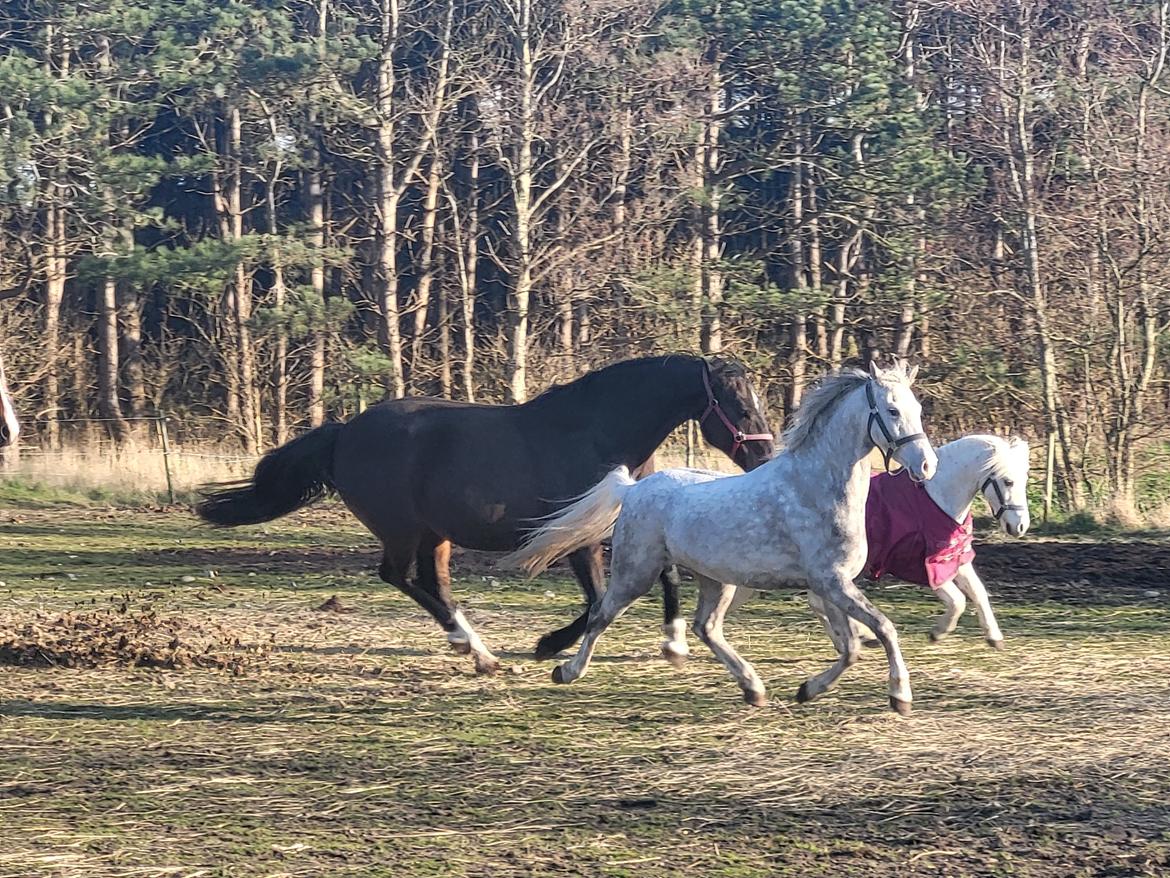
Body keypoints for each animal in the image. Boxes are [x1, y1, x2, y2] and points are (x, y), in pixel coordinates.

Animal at [196, 355, 775, 674]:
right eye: (740, 406)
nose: (765, 456)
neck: (596, 433)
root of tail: (343, 433)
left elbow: (666, 576)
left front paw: (673, 643)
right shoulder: (582, 537)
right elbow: (598, 600)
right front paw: (550, 644)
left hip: (435, 534)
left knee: (430, 581)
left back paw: (473, 649)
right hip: (402, 530)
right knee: (398, 576)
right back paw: (472, 647)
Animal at [502, 360, 937, 714]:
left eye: (917, 409)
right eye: (892, 410)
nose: (927, 466)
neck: (813, 488)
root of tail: (633, 488)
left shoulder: (831, 586)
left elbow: (851, 648)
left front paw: (807, 690)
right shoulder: (832, 584)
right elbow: (883, 628)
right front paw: (900, 696)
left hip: (716, 580)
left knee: (705, 627)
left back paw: (753, 688)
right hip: (635, 572)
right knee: (601, 614)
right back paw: (567, 670)